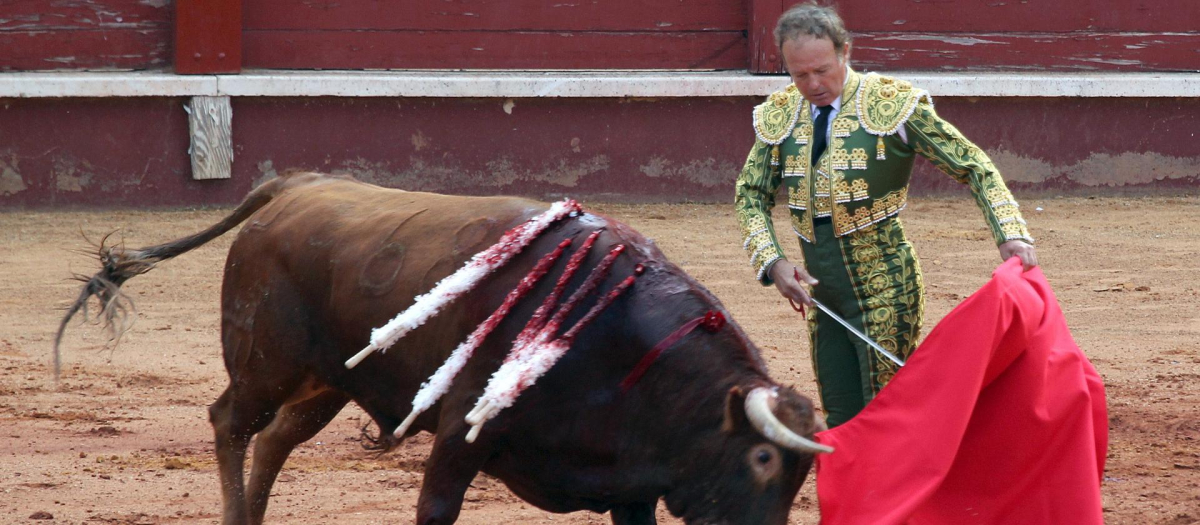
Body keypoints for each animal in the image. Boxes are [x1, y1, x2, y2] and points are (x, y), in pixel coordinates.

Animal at [60, 173, 830, 525]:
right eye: (763, 458)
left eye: (801, 472)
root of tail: (296, 185)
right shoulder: (462, 428)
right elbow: (436, 507)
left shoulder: (632, 486)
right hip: (266, 363)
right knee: (231, 423)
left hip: (328, 382)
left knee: (275, 437)